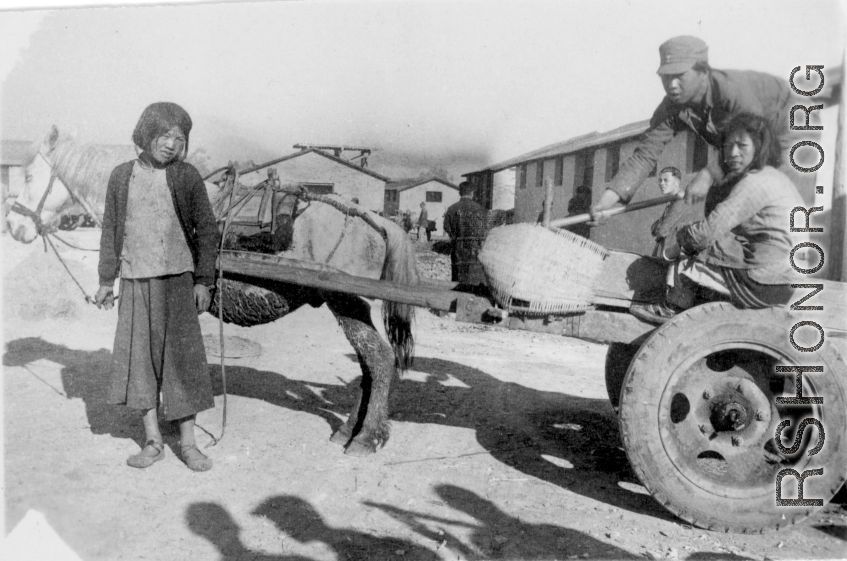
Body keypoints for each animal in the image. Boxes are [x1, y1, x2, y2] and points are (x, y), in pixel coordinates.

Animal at [4, 123, 420, 456]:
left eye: (28, 177)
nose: (13, 226)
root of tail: (376, 218)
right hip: (351, 306)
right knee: (369, 365)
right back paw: (351, 430)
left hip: (345, 300)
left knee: (379, 360)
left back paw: (366, 438)